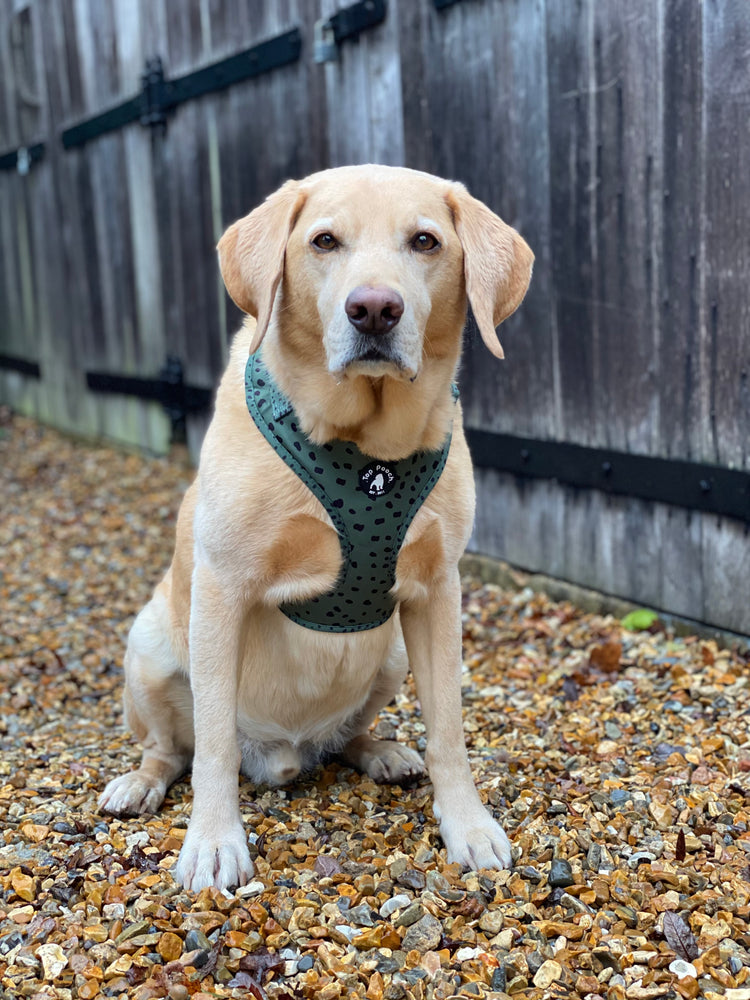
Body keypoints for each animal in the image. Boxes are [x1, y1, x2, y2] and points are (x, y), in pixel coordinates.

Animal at [100, 164, 536, 892]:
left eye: (425, 241)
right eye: (324, 241)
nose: (375, 310)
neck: (366, 452)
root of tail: (282, 753)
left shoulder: (437, 591)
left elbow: (449, 729)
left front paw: (468, 827)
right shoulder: (221, 589)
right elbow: (211, 745)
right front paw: (213, 841)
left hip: (391, 653)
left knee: (349, 735)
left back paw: (379, 751)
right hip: (152, 648)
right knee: (171, 748)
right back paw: (140, 783)